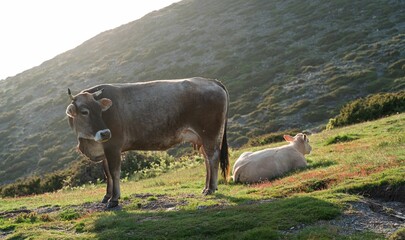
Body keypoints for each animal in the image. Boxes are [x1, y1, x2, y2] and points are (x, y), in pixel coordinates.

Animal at [65, 77, 227, 208]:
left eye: (100, 110)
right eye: (84, 112)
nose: (105, 133)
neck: (88, 142)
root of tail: (210, 81)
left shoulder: (113, 146)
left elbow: (114, 172)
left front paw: (114, 199)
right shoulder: (104, 149)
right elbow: (107, 174)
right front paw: (106, 196)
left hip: (210, 133)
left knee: (213, 157)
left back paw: (211, 188)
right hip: (202, 138)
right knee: (206, 159)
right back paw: (206, 187)